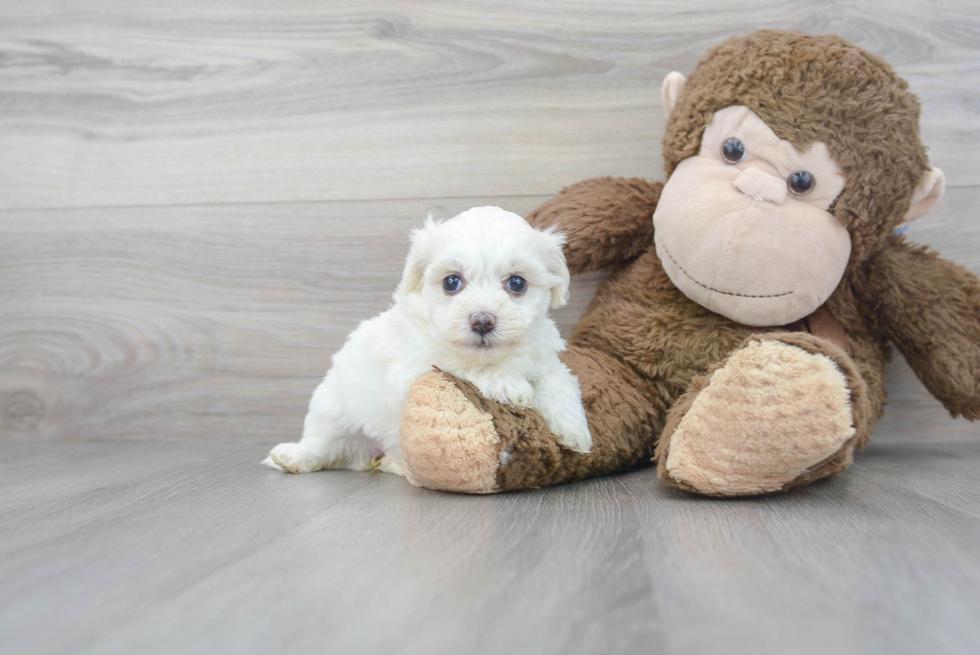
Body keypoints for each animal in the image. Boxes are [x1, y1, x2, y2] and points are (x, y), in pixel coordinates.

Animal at [262, 206, 588, 476]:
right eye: (451, 282)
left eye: (517, 283)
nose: (482, 321)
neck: (494, 357)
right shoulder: (414, 370)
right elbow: (457, 365)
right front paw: (507, 383)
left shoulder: (545, 358)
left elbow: (558, 380)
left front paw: (575, 430)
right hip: (332, 409)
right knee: (323, 445)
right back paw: (291, 457)